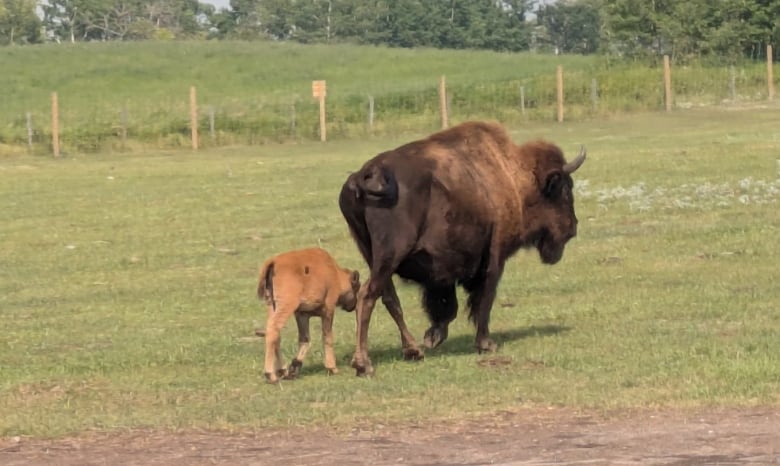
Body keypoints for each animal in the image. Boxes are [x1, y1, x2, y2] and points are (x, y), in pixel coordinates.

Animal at [258, 248, 362, 382]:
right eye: (356, 287)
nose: (353, 306)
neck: (335, 273)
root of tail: (273, 262)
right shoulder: (328, 309)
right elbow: (327, 337)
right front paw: (332, 368)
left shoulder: (302, 314)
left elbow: (305, 339)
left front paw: (294, 368)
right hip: (285, 305)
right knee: (273, 330)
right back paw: (271, 374)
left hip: (272, 305)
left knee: (275, 334)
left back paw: (283, 370)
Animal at [336, 120, 584, 374]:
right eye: (564, 190)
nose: (572, 228)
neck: (513, 176)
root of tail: (364, 177)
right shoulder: (494, 258)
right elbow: (484, 300)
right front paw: (485, 344)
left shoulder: (441, 271)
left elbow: (446, 304)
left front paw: (433, 337)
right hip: (390, 255)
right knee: (368, 295)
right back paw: (364, 363)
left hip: (371, 254)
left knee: (389, 298)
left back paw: (413, 350)